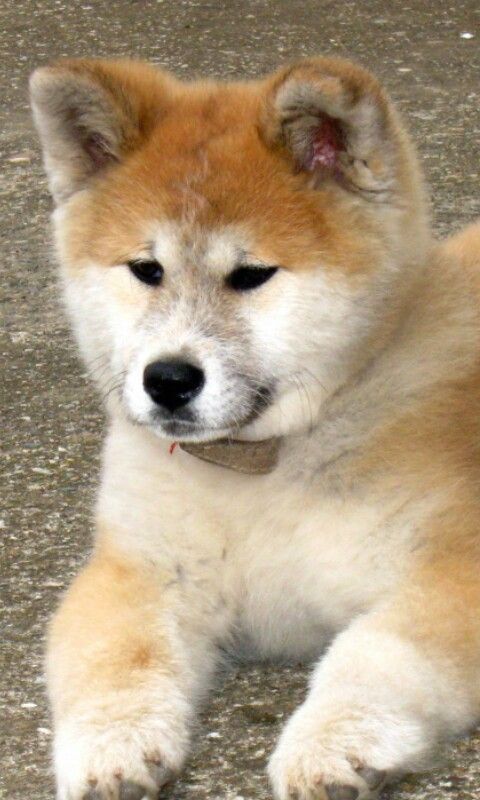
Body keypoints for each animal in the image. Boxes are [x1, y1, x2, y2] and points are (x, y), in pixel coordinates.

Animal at [31, 56, 480, 800]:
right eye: (146, 270)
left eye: (252, 275)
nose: (168, 379)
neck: (265, 467)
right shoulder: (140, 569)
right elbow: (118, 661)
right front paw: (114, 746)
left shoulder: (452, 568)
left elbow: (374, 651)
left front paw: (334, 739)